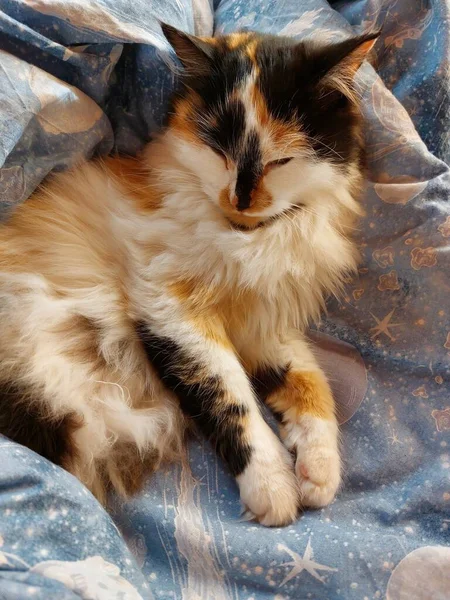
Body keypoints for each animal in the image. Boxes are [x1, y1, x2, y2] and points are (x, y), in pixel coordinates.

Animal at [0, 24, 376, 524]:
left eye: (282, 160)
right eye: (218, 149)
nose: (241, 198)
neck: (250, 236)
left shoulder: (267, 325)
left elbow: (311, 384)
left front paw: (318, 474)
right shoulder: (172, 310)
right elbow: (230, 397)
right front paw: (273, 489)